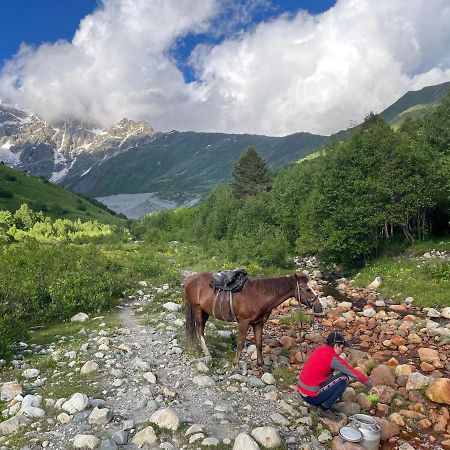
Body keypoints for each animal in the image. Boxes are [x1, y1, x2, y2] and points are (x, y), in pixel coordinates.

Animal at [185, 272, 322, 368]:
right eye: (308, 289)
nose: (319, 307)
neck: (259, 296)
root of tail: (190, 279)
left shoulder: (258, 323)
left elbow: (259, 343)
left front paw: (260, 364)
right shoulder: (244, 322)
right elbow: (240, 343)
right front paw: (235, 364)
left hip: (205, 312)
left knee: (200, 330)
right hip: (197, 309)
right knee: (199, 330)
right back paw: (207, 353)